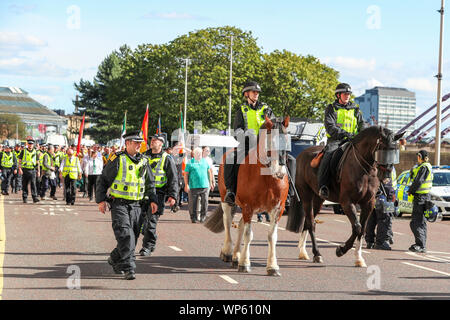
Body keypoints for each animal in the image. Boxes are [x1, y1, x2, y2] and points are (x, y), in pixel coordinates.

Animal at [205, 115, 290, 276]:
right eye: (271, 140)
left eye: (288, 139)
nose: (280, 172)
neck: (267, 177)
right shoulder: (248, 206)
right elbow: (248, 234)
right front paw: (245, 263)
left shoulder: (277, 209)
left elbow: (272, 237)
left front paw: (272, 266)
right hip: (228, 202)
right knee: (228, 222)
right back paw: (228, 252)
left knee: (240, 226)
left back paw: (236, 256)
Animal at [286, 126, 406, 266]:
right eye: (382, 149)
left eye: (395, 152)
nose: (386, 177)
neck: (364, 170)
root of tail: (301, 155)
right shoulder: (347, 202)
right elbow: (357, 227)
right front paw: (341, 250)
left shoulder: (368, 204)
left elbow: (362, 229)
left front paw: (358, 258)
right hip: (306, 196)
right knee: (311, 223)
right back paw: (316, 254)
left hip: (318, 198)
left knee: (308, 222)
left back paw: (303, 252)